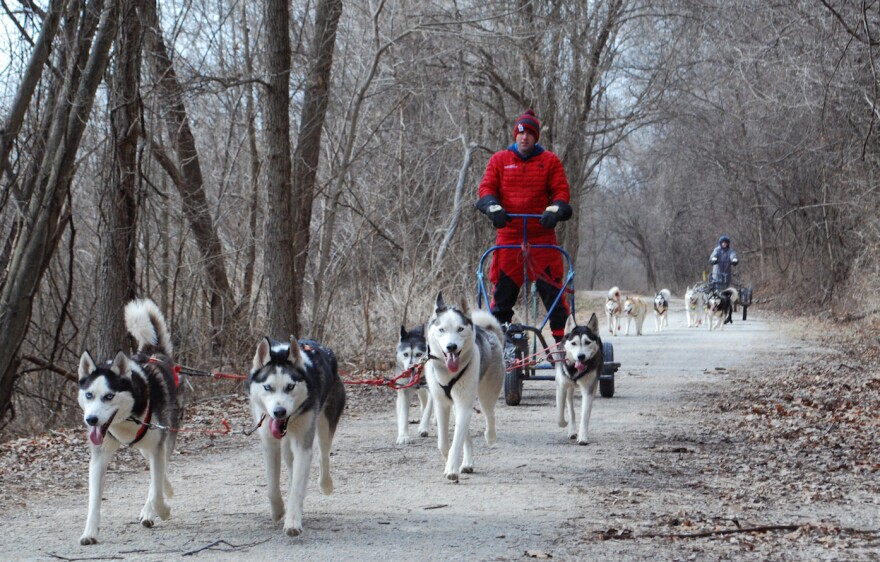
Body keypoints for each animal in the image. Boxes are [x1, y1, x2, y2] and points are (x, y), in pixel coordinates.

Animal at [77, 298, 184, 544]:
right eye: (89, 395)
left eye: (109, 396)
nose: (92, 420)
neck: (127, 418)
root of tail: (156, 353)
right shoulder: (99, 455)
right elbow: (94, 500)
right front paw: (90, 532)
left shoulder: (158, 444)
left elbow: (156, 491)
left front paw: (162, 510)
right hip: (146, 445)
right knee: (159, 470)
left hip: (164, 434)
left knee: (159, 472)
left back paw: (152, 509)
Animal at [248, 334, 348, 536]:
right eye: (267, 387)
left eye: (290, 386)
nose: (279, 412)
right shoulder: (270, 444)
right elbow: (272, 485)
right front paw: (278, 510)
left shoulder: (303, 445)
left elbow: (297, 488)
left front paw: (293, 522)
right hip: (288, 445)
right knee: (290, 464)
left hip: (325, 422)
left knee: (323, 455)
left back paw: (325, 484)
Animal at [424, 290, 502, 480]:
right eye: (442, 330)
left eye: (460, 329)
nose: (451, 347)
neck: (448, 372)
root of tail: (488, 331)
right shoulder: (442, 405)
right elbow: (444, 443)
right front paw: (450, 461)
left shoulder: (464, 404)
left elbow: (456, 442)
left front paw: (451, 469)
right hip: (457, 405)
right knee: (466, 432)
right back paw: (467, 463)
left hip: (485, 394)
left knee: (490, 415)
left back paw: (490, 436)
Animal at [556, 312, 604, 444]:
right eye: (573, 343)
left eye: (587, 342)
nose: (581, 356)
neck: (574, 369)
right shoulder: (561, 387)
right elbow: (560, 413)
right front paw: (564, 423)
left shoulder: (588, 389)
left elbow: (585, 415)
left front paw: (583, 436)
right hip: (569, 389)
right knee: (571, 409)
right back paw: (572, 429)